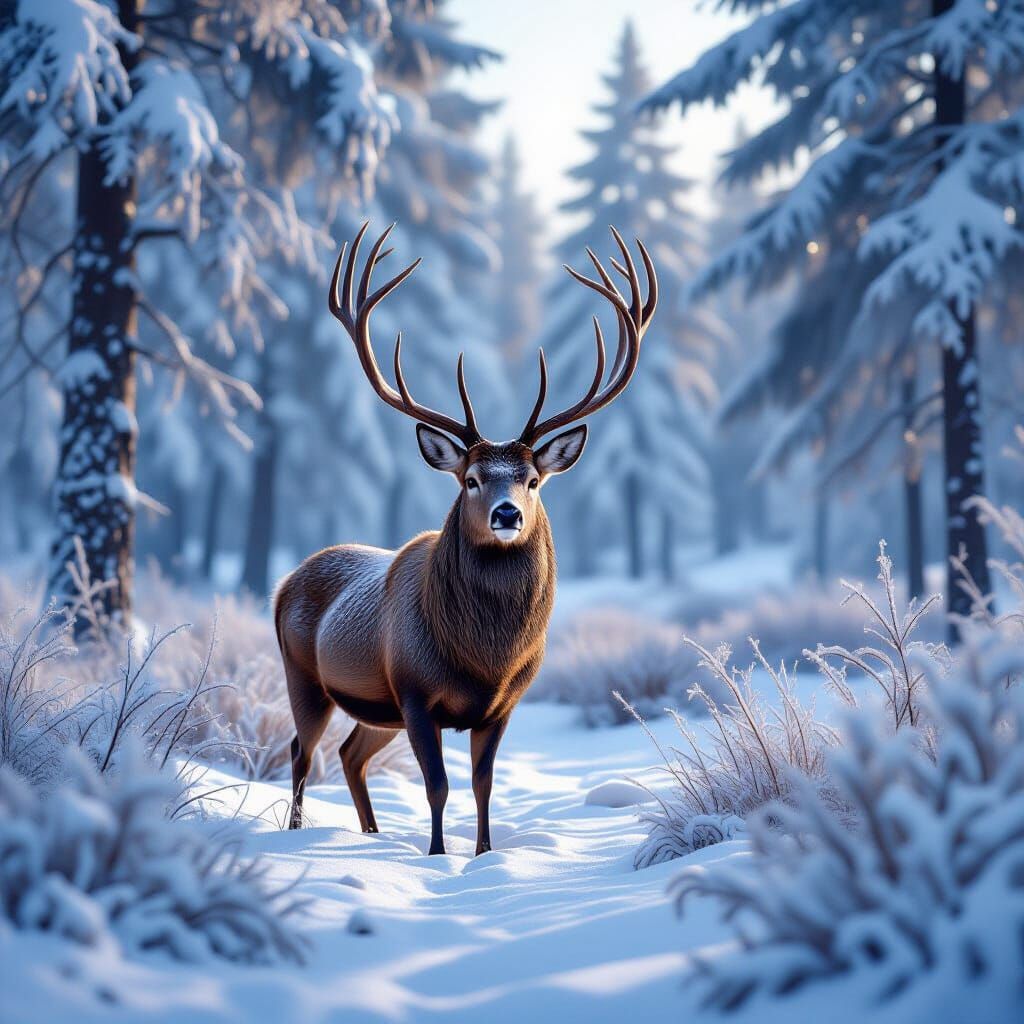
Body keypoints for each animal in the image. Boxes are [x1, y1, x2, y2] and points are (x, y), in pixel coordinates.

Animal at [274, 221, 657, 855]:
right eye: (471, 478)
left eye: (532, 479)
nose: (506, 514)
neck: (485, 661)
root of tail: (285, 582)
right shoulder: (414, 691)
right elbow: (438, 785)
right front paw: (436, 855)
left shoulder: (503, 705)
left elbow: (483, 786)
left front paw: (483, 854)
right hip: (304, 675)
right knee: (302, 753)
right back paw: (298, 831)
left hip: (376, 710)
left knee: (351, 754)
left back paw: (374, 834)